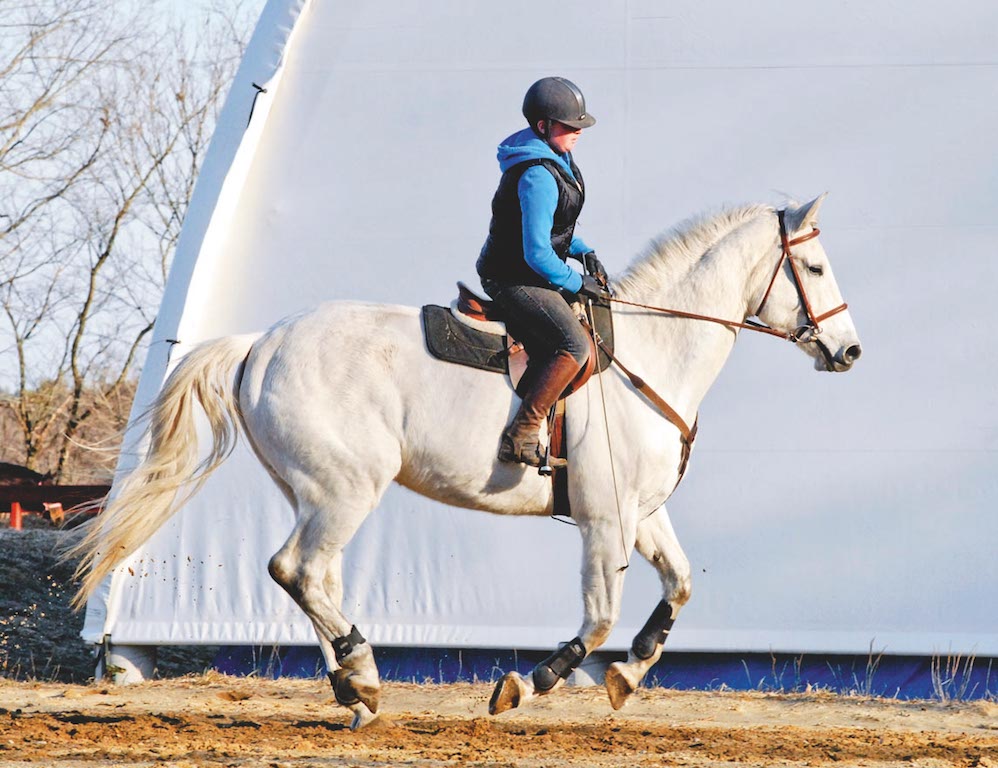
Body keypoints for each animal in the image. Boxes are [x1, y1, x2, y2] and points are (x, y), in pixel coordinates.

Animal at [74, 192, 864, 728]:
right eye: (815, 266)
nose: (850, 350)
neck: (650, 354)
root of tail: (261, 343)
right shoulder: (605, 520)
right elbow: (599, 616)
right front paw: (533, 682)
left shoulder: (640, 513)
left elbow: (680, 585)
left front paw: (631, 674)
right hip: (345, 490)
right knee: (294, 570)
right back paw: (363, 677)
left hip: (322, 494)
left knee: (315, 579)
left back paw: (354, 688)